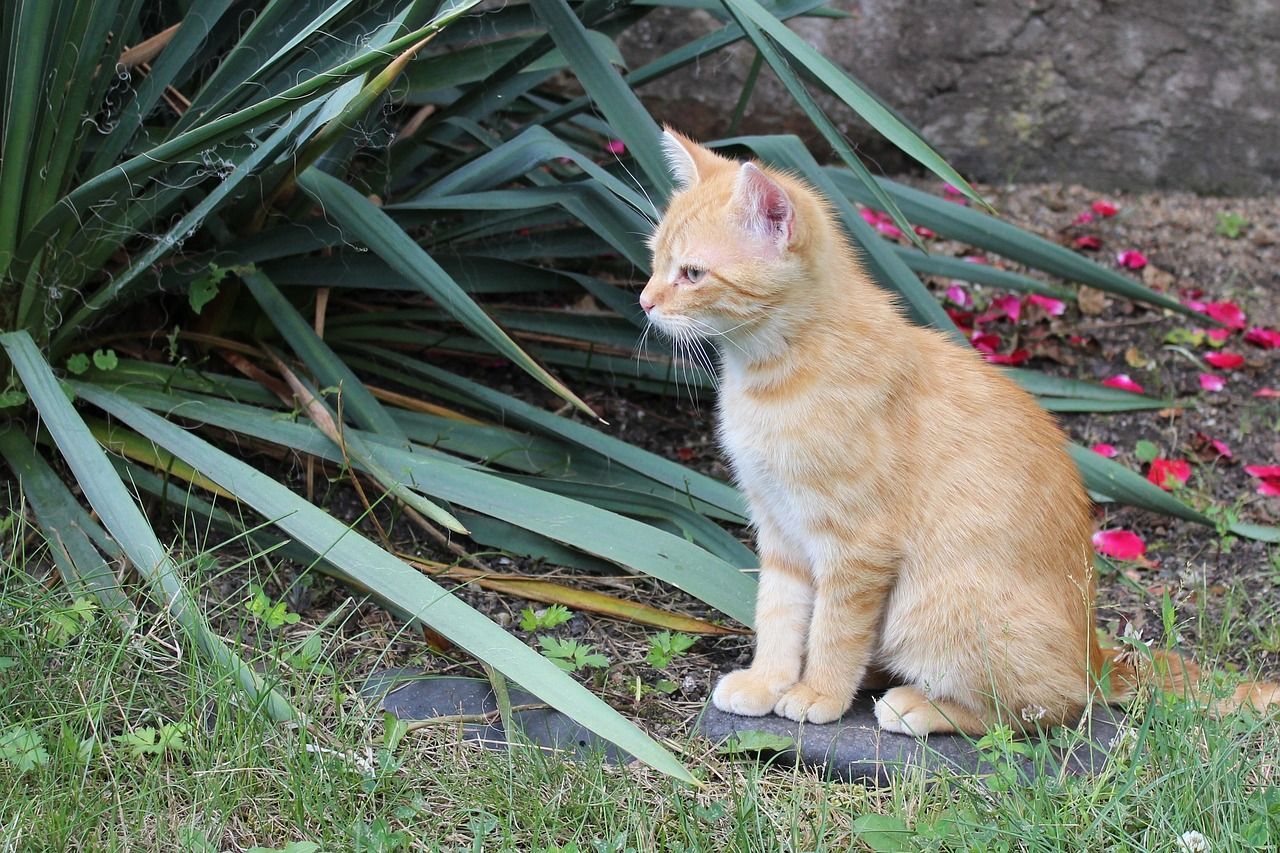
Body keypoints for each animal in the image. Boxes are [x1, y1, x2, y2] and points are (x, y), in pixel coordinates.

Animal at [645, 126, 1274, 732]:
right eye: (654, 260)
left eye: (692, 273)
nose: (645, 301)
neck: (770, 375)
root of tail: (1096, 657)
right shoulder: (779, 530)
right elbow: (778, 613)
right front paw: (767, 682)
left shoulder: (856, 548)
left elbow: (833, 629)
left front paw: (819, 692)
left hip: (935, 607)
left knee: (1045, 710)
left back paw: (916, 705)